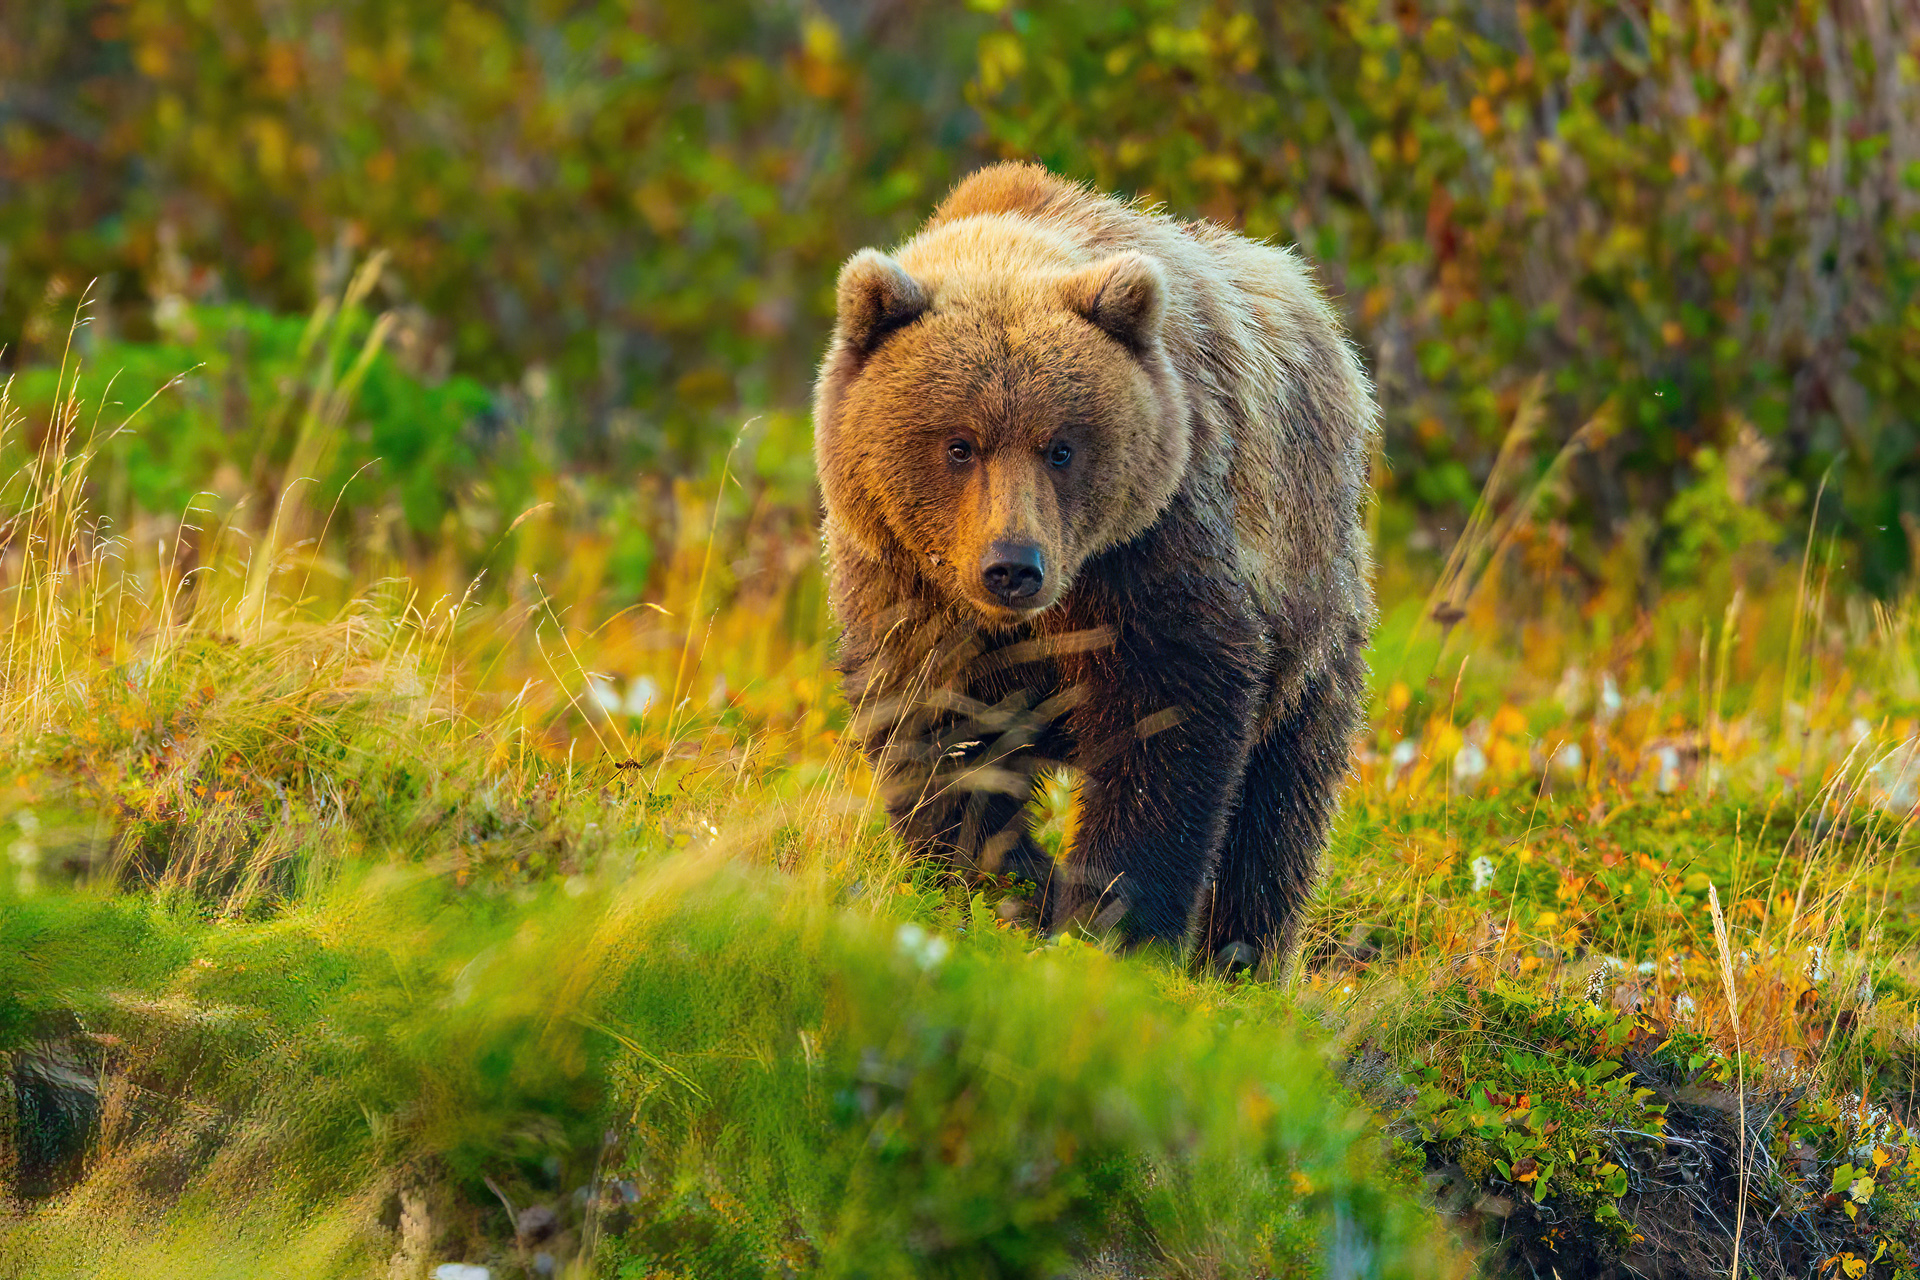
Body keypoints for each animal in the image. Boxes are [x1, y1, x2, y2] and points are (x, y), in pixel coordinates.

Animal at [812, 162, 1376, 975]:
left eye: (1062, 446)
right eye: (959, 444)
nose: (1012, 566)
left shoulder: (1148, 550)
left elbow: (1168, 717)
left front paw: (1110, 922)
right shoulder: (907, 584)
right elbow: (938, 734)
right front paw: (1005, 888)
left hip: (1313, 601)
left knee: (1282, 801)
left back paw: (1242, 956)